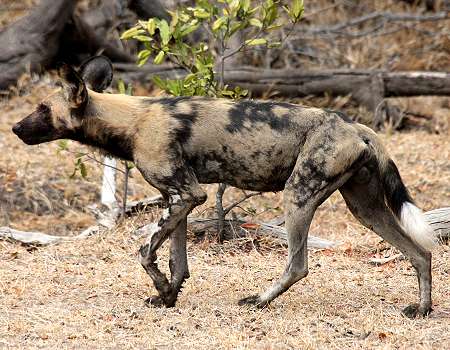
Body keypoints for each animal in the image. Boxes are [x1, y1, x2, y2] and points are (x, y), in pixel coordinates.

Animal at [12, 55, 438, 318]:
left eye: (43, 109)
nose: (15, 128)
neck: (130, 121)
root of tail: (356, 125)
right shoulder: (178, 199)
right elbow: (177, 261)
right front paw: (168, 296)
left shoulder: (186, 195)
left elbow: (144, 252)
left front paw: (161, 287)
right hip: (366, 209)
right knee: (420, 253)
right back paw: (422, 309)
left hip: (297, 197)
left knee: (298, 265)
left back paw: (258, 301)